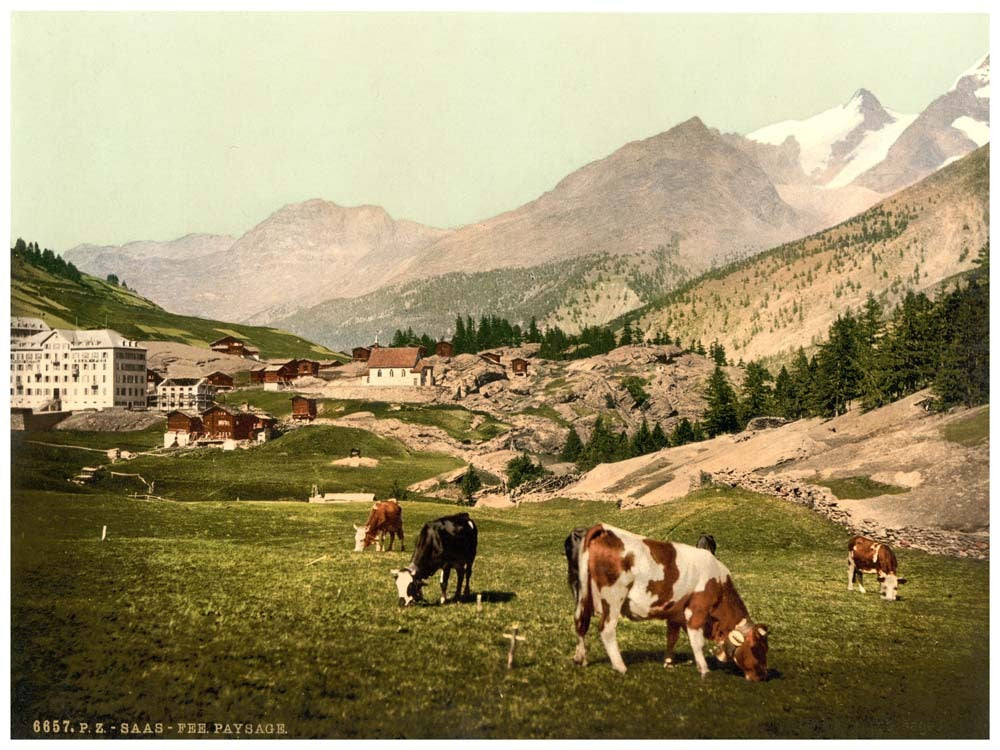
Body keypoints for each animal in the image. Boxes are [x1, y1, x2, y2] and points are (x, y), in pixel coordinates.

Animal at [568, 524, 768, 684]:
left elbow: (672, 638)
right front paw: (704, 670)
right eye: (757, 649)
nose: (762, 676)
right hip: (613, 597)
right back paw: (620, 666)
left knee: (580, 624)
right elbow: (697, 642)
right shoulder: (697, 611)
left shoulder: (675, 614)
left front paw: (669, 663)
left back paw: (580, 659)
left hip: (581, 594)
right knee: (607, 629)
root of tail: (604, 528)